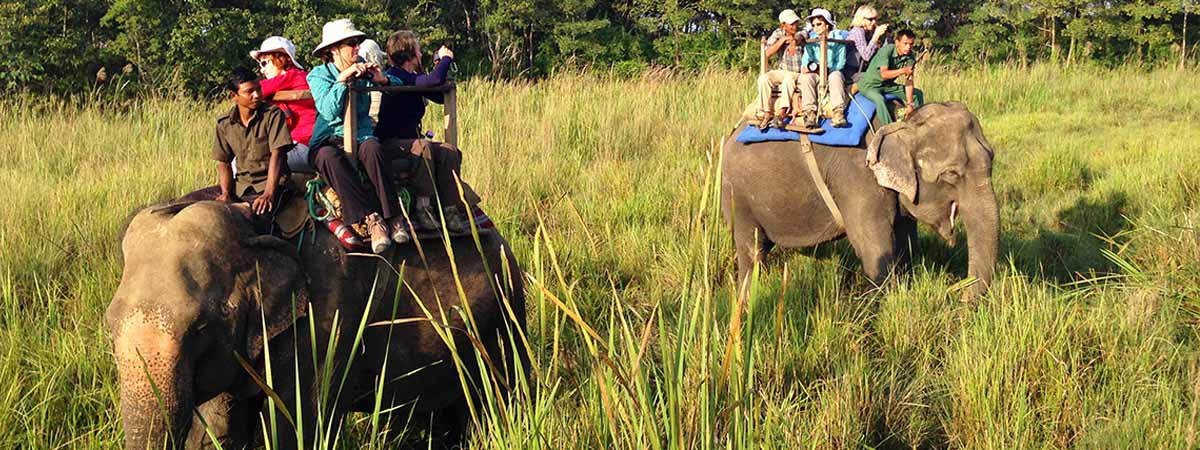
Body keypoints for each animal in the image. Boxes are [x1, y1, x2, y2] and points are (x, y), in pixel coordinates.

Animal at [106, 199, 528, 449]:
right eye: (109, 326)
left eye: (200, 329)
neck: (256, 230)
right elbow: (220, 426)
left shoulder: (327, 319)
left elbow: (296, 425)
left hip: (505, 314)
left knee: (502, 395)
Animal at [721, 102, 999, 297]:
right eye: (951, 174)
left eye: (992, 159)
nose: (959, 293)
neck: (902, 124)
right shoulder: (857, 177)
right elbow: (874, 245)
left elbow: (906, 240)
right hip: (738, 197)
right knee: (751, 249)